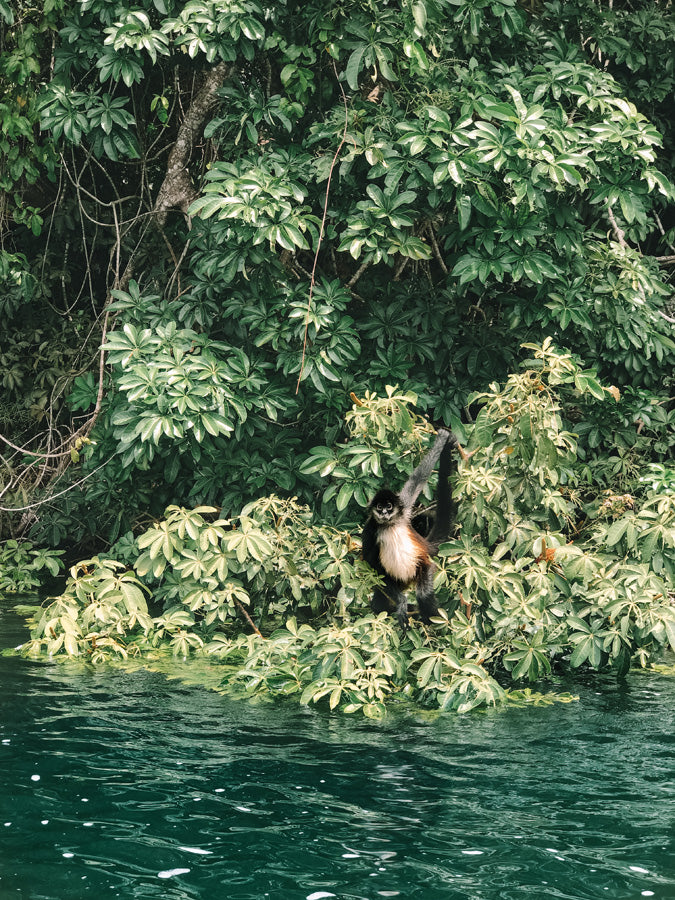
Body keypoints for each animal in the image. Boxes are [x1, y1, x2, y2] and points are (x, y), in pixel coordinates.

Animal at [364, 428, 460, 624]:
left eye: (389, 506)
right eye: (379, 507)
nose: (383, 513)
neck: (390, 524)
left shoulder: (404, 508)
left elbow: (418, 479)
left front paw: (442, 438)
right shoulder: (369, 529)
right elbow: (370, 562)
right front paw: (401, 602)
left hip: (424, 566)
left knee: (423, 594)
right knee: (379, 599)